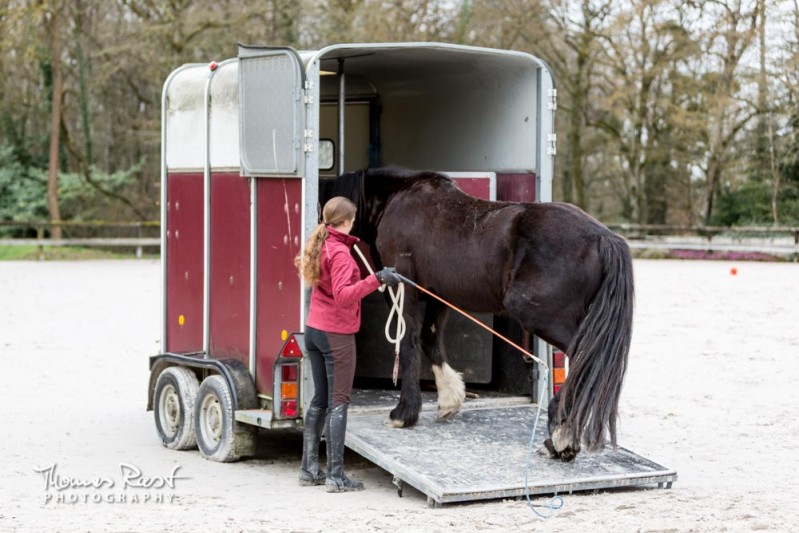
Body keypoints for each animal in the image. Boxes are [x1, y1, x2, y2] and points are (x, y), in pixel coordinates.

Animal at [318, 168, 632, 460]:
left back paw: (559, 437)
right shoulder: (438, 294)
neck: (396, 199)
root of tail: (603, 237)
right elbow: (430, 339)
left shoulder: (404, 287)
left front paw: (404, 413)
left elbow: (408, 342)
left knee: (584, 356)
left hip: (541, 316)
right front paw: (449, 399)